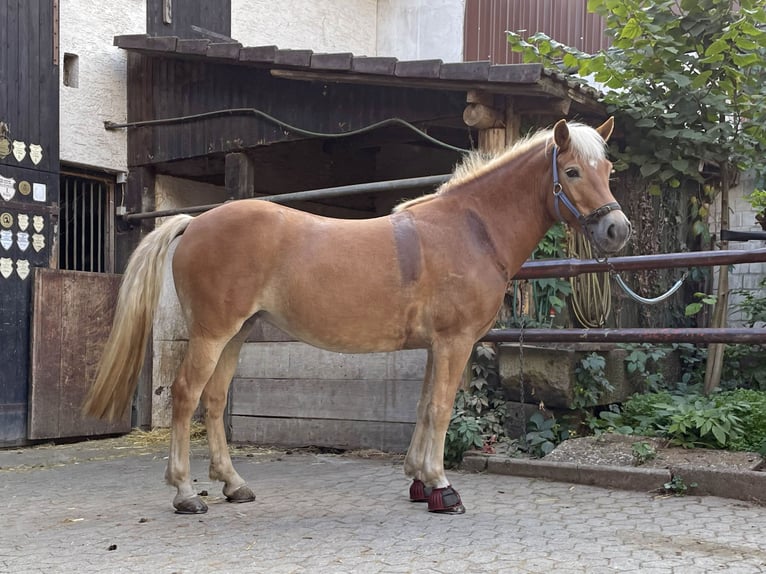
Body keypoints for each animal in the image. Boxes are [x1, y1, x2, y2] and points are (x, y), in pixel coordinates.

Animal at [84, 117, 631, 515]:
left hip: (235, 334)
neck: (469, 230)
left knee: (214, 401)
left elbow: (423, 407)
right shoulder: (454, 343)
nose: (617, 231)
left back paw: (234, 485)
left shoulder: (435, 347)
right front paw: (442, 487)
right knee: (185, 396)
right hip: (212, 333)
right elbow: (441, 409)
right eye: (573, 172)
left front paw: (419, 481)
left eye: (608, 171)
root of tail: (194, 222)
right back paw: (184, 493)